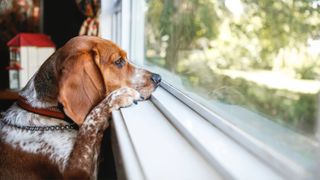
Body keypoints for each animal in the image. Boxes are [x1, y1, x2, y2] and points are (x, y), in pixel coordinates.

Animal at [0, 35, 160, 179]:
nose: (158, 78)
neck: (44, 110)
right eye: (119, 61)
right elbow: (90, 125)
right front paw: (118, 96)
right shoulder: (77, 171)